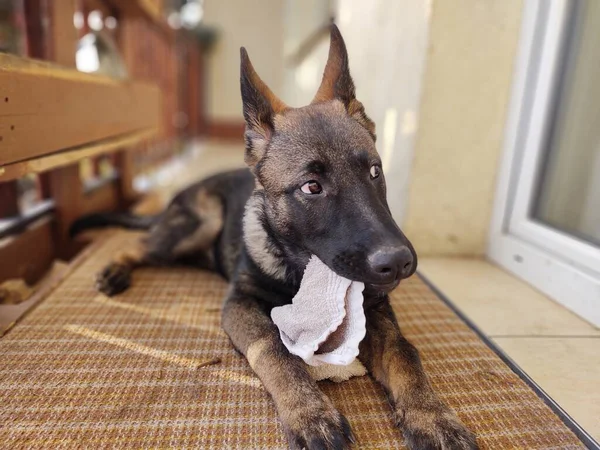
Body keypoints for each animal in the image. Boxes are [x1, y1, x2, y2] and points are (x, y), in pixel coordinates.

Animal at [71, 25, 478, 450]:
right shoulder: (241, 304)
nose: (399, 263)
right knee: (137, 244)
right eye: (311, 187)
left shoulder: (377, 311)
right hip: (201, 222)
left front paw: (432, 417)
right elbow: (273, 347)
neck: (304, 274)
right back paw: (115, 270)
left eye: (375, 171)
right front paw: (310, 413)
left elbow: (404, 353)